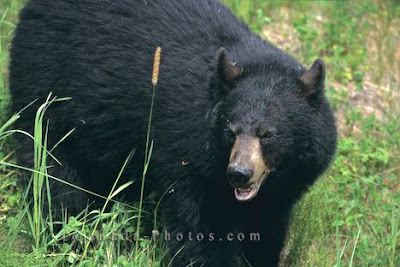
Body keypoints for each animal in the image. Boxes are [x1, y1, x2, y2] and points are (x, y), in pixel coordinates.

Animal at [9, 0, 336, 266]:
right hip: (47, 95)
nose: (239, 173)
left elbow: (266, 231)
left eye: (268, 134)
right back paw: (70, 238)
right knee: (56, 177)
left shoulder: (283, 189)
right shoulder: (188, 157)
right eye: (230, 130)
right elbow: (202, 230)